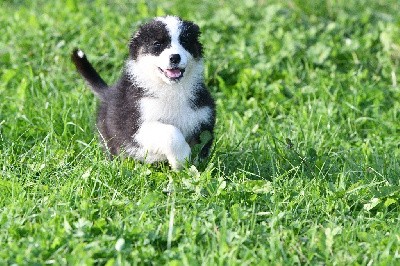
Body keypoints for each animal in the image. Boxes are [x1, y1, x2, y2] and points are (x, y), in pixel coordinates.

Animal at [72, 16, 216, 170]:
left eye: (185, 42)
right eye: (157, 44)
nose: (175, 57)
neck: (170, 89)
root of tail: (108, 93)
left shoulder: (203, 118)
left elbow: (201, 146)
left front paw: (193, 166)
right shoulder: (135, 125)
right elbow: (170, 132)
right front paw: (181, 160)